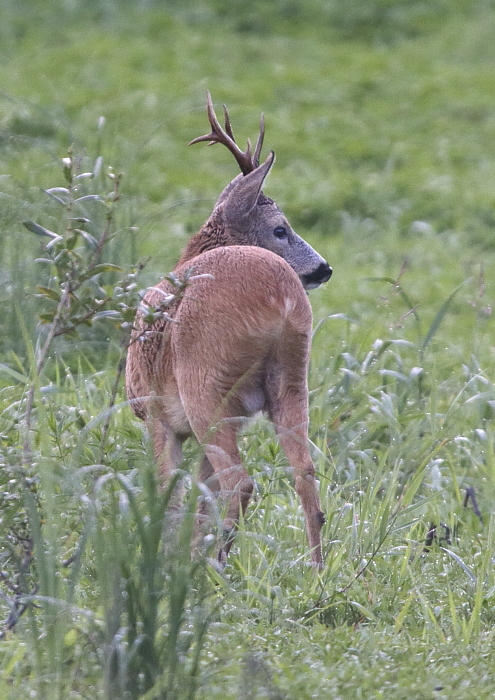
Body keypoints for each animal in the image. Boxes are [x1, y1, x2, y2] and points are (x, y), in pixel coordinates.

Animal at [125, 90, 334, 568]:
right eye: (281, 229)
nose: (325, 269)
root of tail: (281, 296)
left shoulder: (156, 414)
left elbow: (171, 494)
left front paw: (166, 555)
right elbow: (199, 497)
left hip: (206, 385)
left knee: (240, 480)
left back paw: (213, 564)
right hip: (290, 378)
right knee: (304, 471)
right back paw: (315, 570)